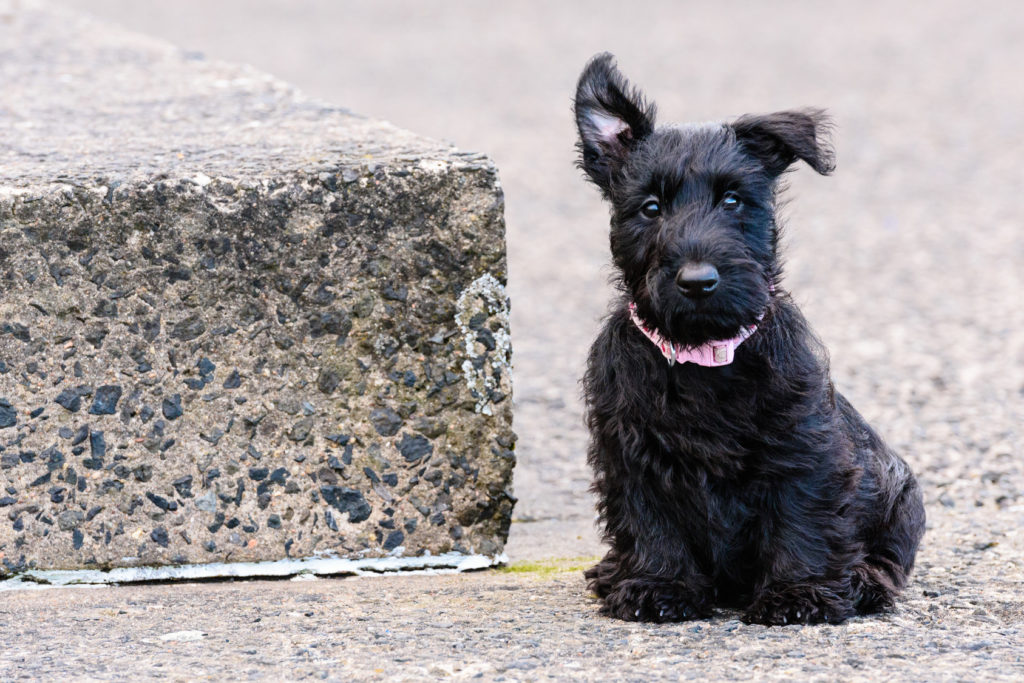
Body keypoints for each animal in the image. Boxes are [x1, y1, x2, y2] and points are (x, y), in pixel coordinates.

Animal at [577, 53, 929, 626]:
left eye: (733, 200)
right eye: (650, 207)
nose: (698, 281)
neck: (703, 356)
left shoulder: (803, 447)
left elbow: (801, 520)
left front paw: (799, 595)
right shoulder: (630, 452)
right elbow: (651, 523)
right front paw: (657, 585)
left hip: (900, 493)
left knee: (887, 557)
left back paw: (863, 581)